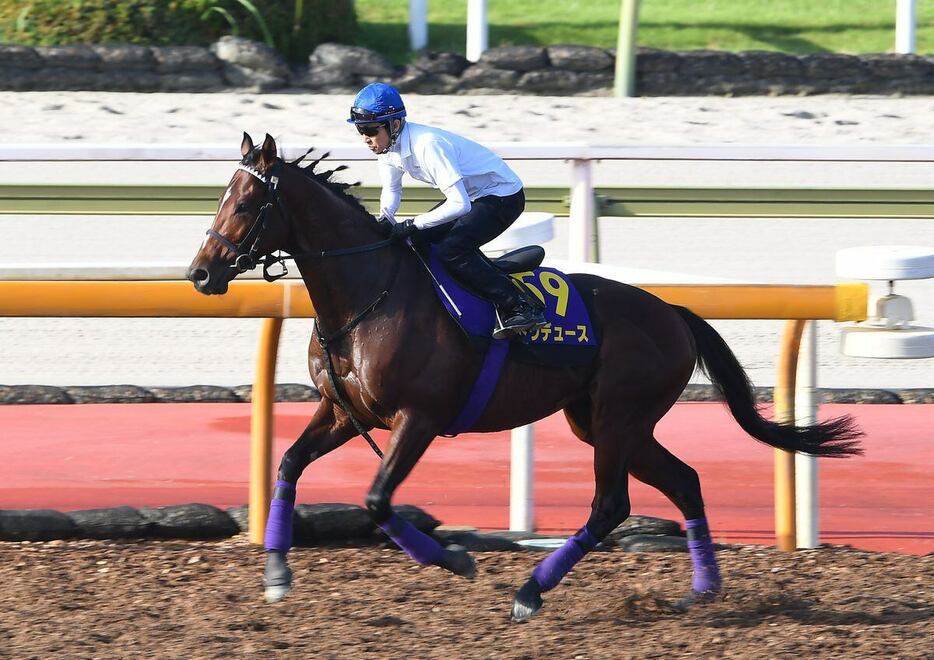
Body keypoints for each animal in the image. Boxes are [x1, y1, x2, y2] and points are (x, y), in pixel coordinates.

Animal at [186, 135, 868, 624]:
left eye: (246, 203)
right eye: (220, 197)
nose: (200, 274)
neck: (367, 296)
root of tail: (671, 312)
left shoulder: (418, 419)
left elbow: (378, 500)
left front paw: (456, 558)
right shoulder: (344, 412)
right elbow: (288, 464)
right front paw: (277, 574)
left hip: (618, 417)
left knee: (611, 505)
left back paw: (530, 592)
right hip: (606, 422)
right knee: (684, 481)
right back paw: (702, 590)